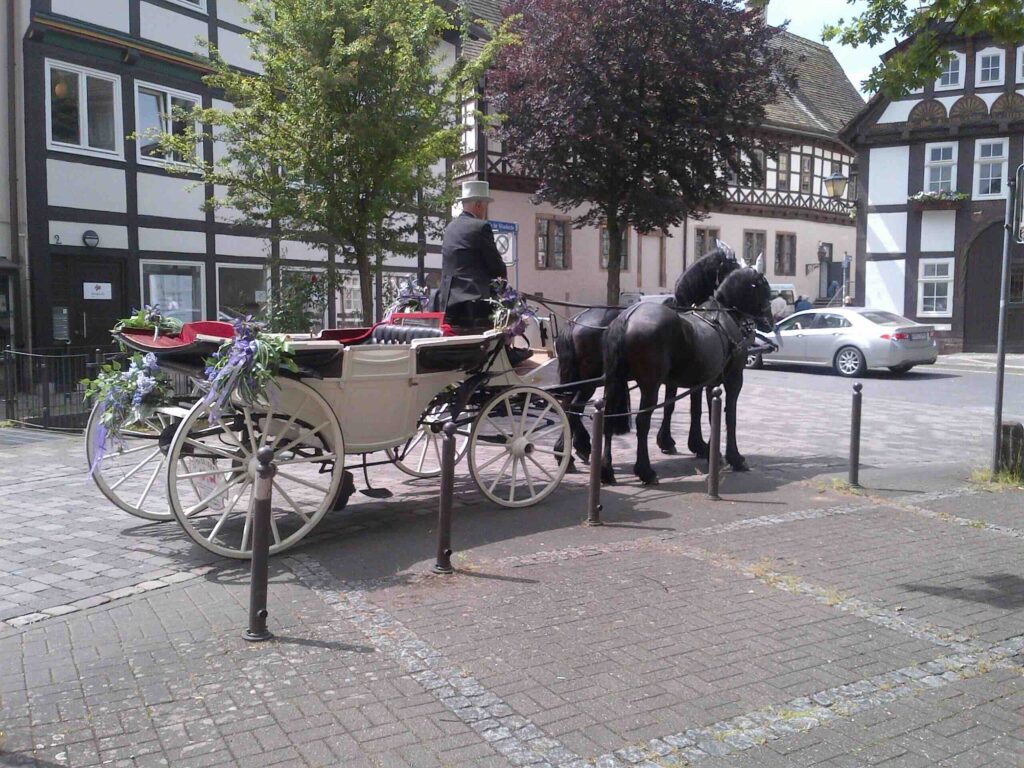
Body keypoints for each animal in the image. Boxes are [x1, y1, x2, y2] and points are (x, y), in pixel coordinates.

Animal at [557, 247, 741, 462]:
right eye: (732, 267)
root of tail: (575, 321)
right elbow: (684, 407)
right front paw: (688, 444)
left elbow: (674, 406)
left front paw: (673, 442)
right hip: (589, 380)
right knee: (573, 406)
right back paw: (579, 447)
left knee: (567, 405)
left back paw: (570, 450)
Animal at [598, 268, 774, 483]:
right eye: (765, 289)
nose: (771, 321)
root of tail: (627, 317)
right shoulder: (733, 378)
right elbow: (729, 416)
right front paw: (735, 457)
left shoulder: (708, 382)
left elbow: (706, 414)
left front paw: (710, 451)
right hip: (650, 385)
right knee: (642, 422)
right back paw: (645, 471)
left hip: (615, 381)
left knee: (608, 417)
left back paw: (606, 470)